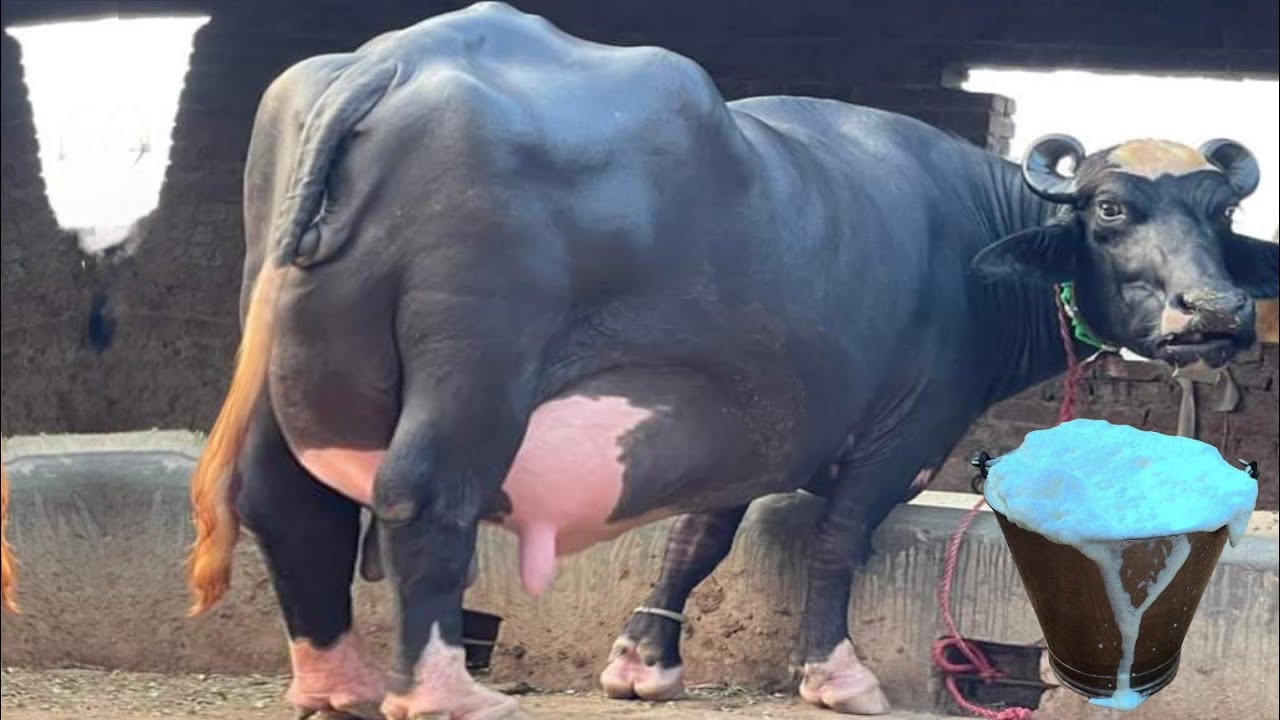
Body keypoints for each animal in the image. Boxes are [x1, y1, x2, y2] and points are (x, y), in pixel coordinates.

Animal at [183, 3, 1279, 718]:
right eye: (1110, 209)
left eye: (1221, 214)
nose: (1217, 312)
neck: (972, 234)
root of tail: (402, 57)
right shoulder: (905, 429)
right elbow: (838, 540)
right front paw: (836, 675)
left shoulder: (747, 411)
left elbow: (697, 537)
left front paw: (643, 660)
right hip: (474, 366)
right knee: (422, 495)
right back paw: (449, 694)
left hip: (288, 348)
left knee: (286, 499)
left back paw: (339, 682)